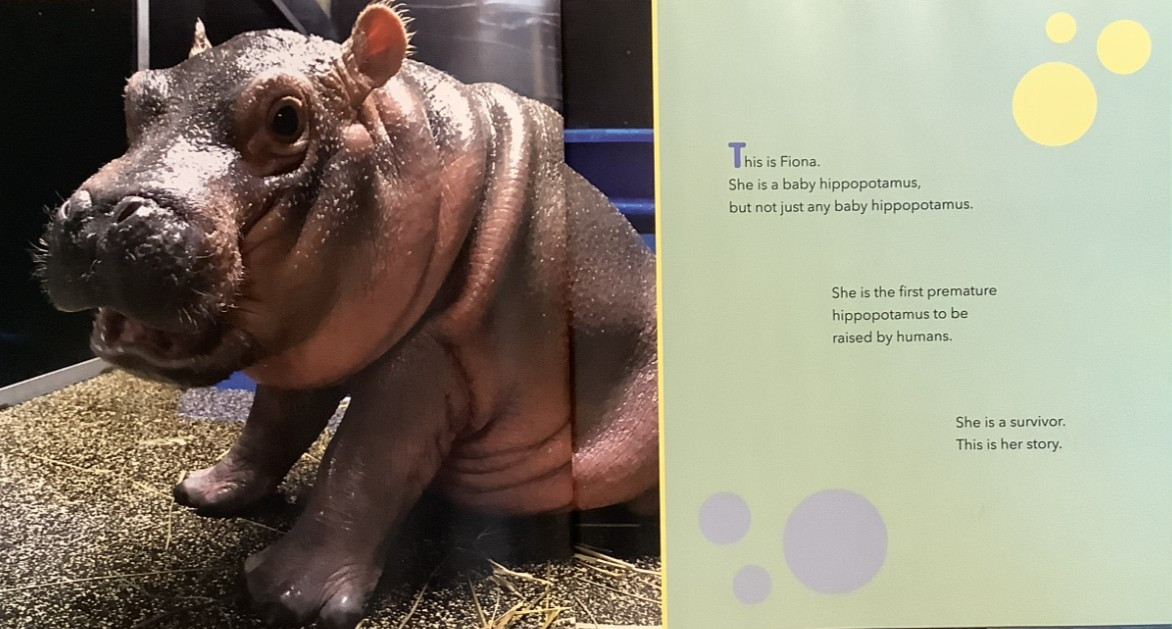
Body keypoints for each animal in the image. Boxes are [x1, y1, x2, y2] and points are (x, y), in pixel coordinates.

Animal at [35, 4, 659, 627]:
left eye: (286, 119)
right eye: (135, 96)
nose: (103, 217)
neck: (403, 141)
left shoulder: (429, 355)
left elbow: (364, 460)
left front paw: (282, 595)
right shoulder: (316, 340)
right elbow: (271, 425)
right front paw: (203, 492)